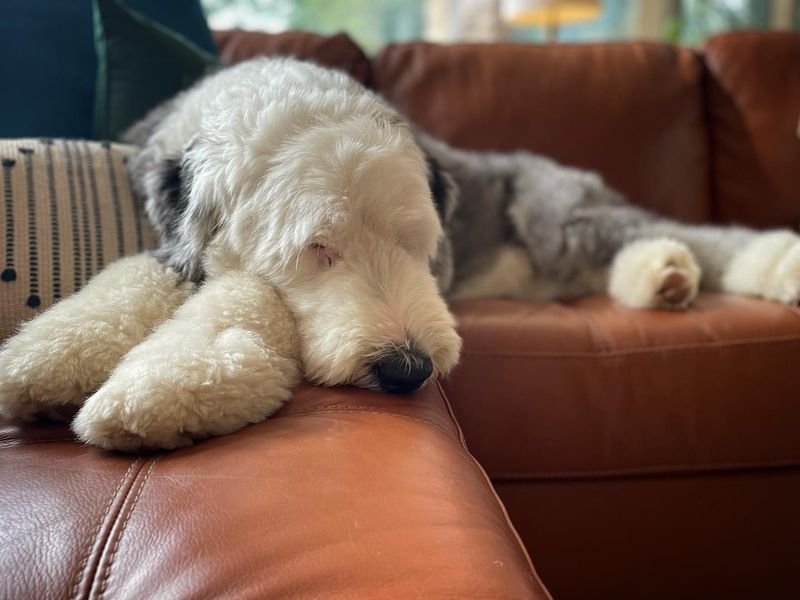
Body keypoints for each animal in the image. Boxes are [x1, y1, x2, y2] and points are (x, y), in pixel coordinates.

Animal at [0, 57, 462, 450]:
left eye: (410, 241)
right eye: (317, 245)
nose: (407, 368)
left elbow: (245, 297)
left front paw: (158, 387)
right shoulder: (176, 247)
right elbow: (134, 277)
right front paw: (46, 357)